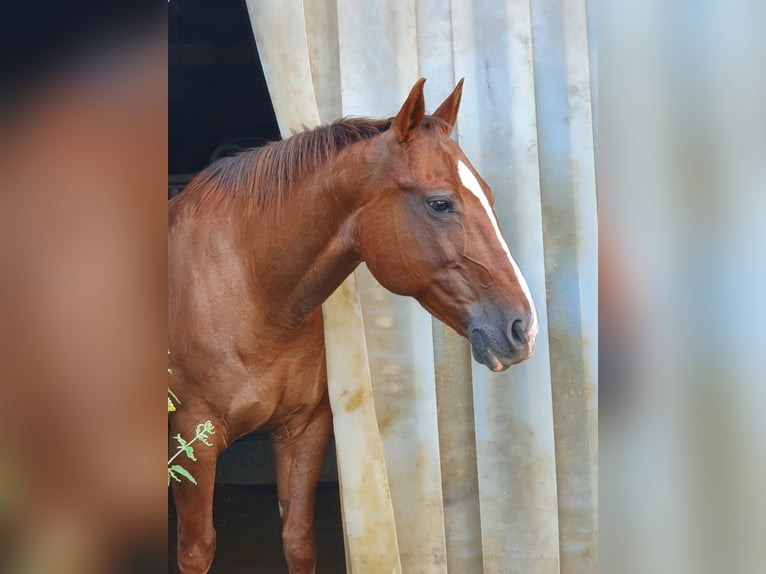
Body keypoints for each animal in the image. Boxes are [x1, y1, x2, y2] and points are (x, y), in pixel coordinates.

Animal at [168, 80, 540, 574]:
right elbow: (196, 550)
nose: (523, 327)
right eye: (440, 203)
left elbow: (298, 540)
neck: (249, 285)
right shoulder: (193, 440)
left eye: (490, 196)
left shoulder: (304, 430)